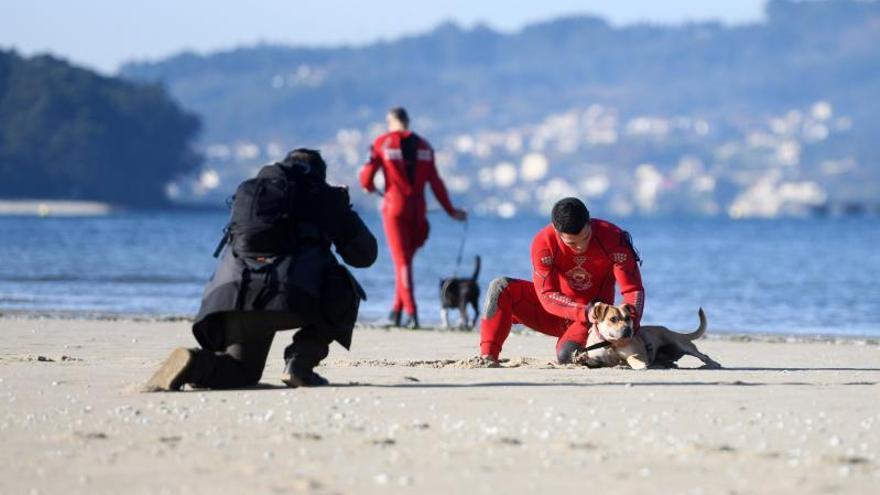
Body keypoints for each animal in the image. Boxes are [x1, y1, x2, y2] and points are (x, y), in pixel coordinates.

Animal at [580, 304, 720, 370]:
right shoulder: (599, 358)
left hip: (679, 343)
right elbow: (593, 360)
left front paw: (637, 364)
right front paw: (582, 359)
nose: (628, 329)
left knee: (703, 355)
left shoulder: (638, 353)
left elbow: (631, 357)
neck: (610, 343)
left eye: (628, 318)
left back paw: (712, 364)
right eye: (613, 319)